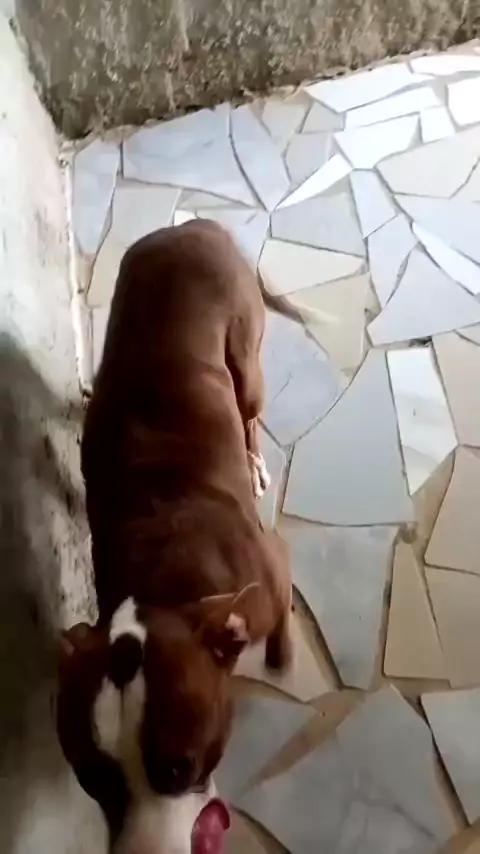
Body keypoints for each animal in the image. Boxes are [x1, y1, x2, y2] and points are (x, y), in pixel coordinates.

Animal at [57, 220, 292, 843]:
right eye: (93, 782)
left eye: (177, 767)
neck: (162, 587)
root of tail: (191, 225)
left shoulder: (273, 573)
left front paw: (282, 657)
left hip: (246, 362)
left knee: (249, 409)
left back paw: (254, 461)